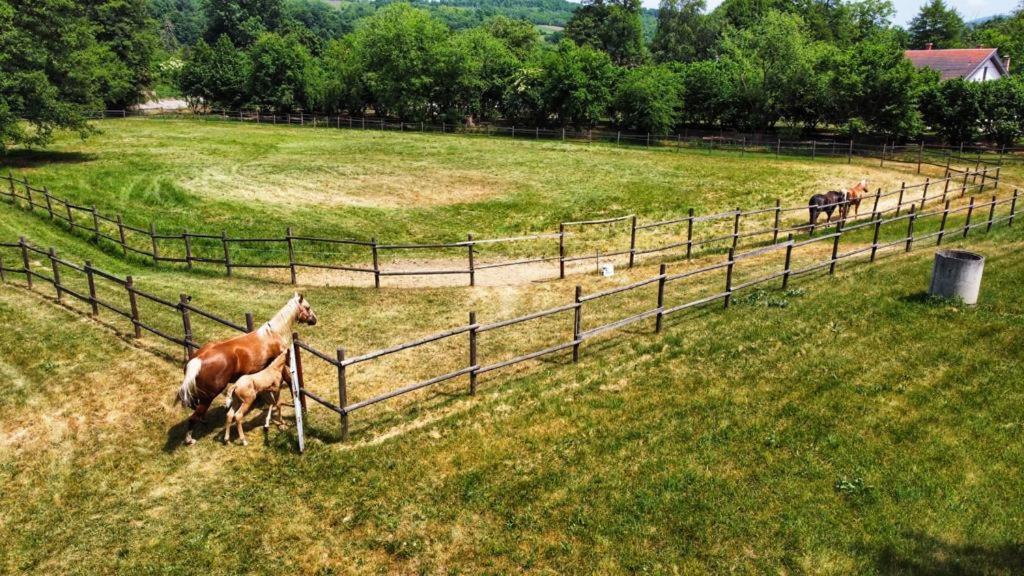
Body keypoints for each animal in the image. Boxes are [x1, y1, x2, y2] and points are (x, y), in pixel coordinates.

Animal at [175, 291, 315, 444]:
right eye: (307, 307)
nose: (314, 320)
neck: (273, 334)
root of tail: (197, 360)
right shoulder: (282, 365)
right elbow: (289, 383)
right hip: (208, 397)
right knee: (193, 417)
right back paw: (190, 439)